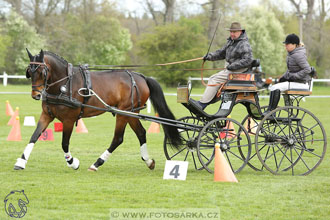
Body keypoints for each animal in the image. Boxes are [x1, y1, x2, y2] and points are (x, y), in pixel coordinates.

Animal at [14, 49, 180, 171]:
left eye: (42, 72)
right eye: (29, 71)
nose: (36, 95)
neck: (65, 84)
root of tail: (140, 76)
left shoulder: (69, 120)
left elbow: (64, 143)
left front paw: (73, 162)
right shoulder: (46, 115)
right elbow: (34, 136)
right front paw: (21, 162)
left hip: (124, 113)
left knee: (118, 138)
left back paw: (97, 163)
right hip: (131, 113)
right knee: (141, 133)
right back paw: (148, 161)